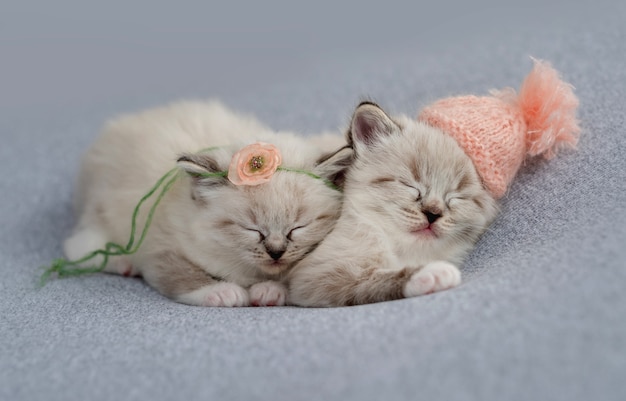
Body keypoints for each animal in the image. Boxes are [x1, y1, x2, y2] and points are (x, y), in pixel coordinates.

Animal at [63, 100, 352, 306]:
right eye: (252, 230)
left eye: (297, 228)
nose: (276, 252)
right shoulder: (160, 247)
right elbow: (184, 275)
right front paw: (225, 292)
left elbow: (286, 280)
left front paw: (270, 290)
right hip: (105, 216)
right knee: (78, 250)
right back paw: (124, 264)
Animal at [286, 101, 498, 304]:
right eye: (410, 185)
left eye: (455, 197)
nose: (433, 214)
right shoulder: (314, 277)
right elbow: (372, 280)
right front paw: (430, 273)